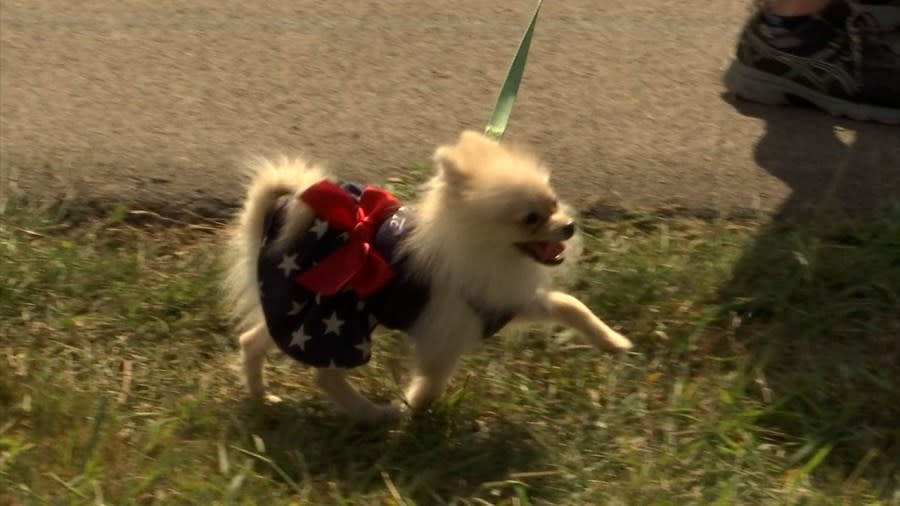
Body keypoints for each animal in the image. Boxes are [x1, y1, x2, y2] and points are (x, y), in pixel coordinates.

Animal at [225, 128, 632, 422]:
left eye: (553, 202)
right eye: (531, 219)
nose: (568, 226)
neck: (483, 248)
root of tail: (270, 221)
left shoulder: (501, 300)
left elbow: (570, 304)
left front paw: (612, 341)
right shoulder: (446, 331)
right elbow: (433, 381)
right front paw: (413, 409)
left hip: (294, 312)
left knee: (252, 341)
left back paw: (263, 396)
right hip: (332, 318)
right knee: (326, 375)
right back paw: (375, 415)